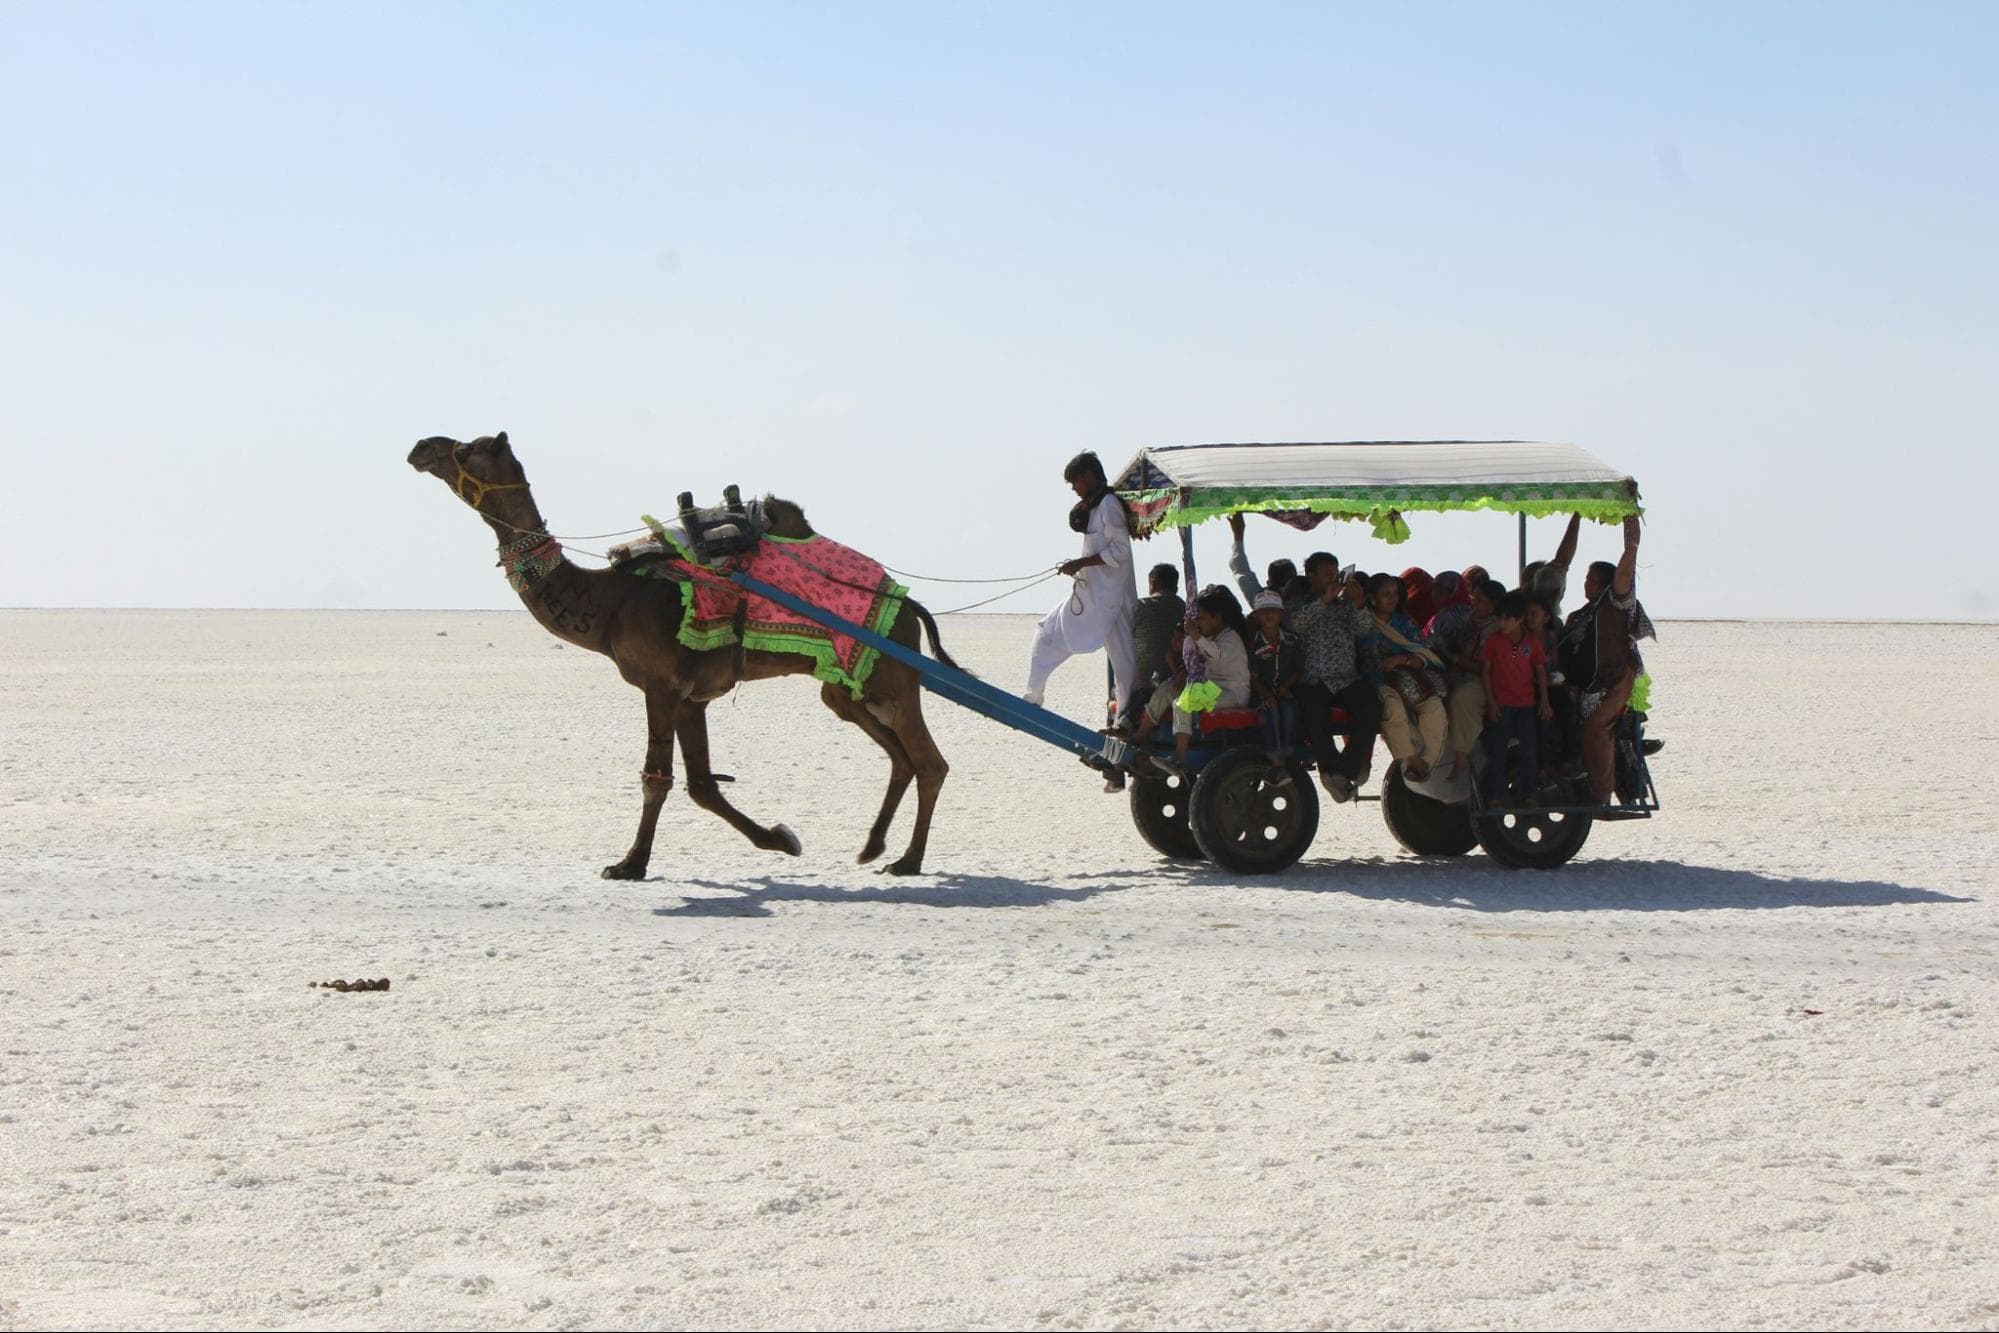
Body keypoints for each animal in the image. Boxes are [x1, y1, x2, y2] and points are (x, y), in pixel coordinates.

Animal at [407, 432, 953, 877]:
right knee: (900, 757)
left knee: (929, 762)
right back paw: (873, 847)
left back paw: (908, 860)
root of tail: (907, 603)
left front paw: (629, 864)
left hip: (891, 673)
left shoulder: (661, 684)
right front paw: (781, 839)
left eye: (465, 449)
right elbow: (701, 785)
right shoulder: (694, 697)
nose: (420, 447)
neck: (608, 602)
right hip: (846, 687)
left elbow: (658, 779)